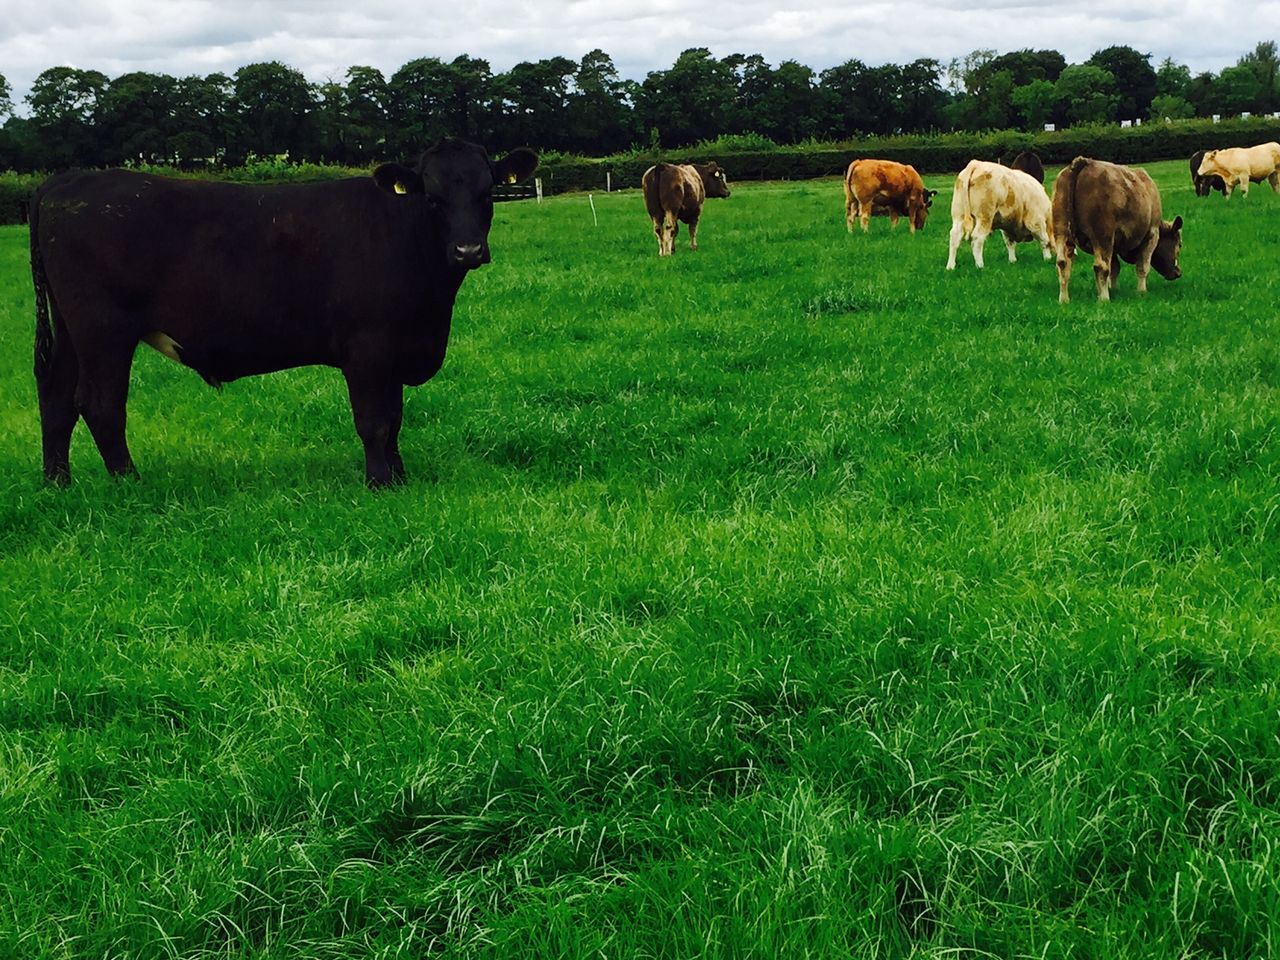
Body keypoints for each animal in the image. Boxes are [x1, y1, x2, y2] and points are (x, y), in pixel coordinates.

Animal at [29, 138, 538, 488]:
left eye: (487, 193)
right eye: (432, 198)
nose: (468, 250)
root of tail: (69, 179)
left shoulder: (394, 349)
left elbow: (394, 417)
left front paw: (399, 476)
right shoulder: (369, 346)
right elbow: (374, 420)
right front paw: (380, 484)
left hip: (72, 329)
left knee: (57, 398)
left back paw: (58, 484)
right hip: (103, 329)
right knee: (100, 404)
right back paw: (129, 484)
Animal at [1051, 156, 1182, 304]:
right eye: (1179, 244)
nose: (1178, 272)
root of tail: (1084, 161)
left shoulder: (1113, 246)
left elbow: (1114, 268)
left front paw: (1113, 289)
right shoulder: (1151, 235)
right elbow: (1142, 266)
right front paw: (1141, 291)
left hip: (1062, 232)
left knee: (1063, 263)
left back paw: (1064, 299)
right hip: (1102, 236)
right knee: (1100, 267)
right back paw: (1104, 299)